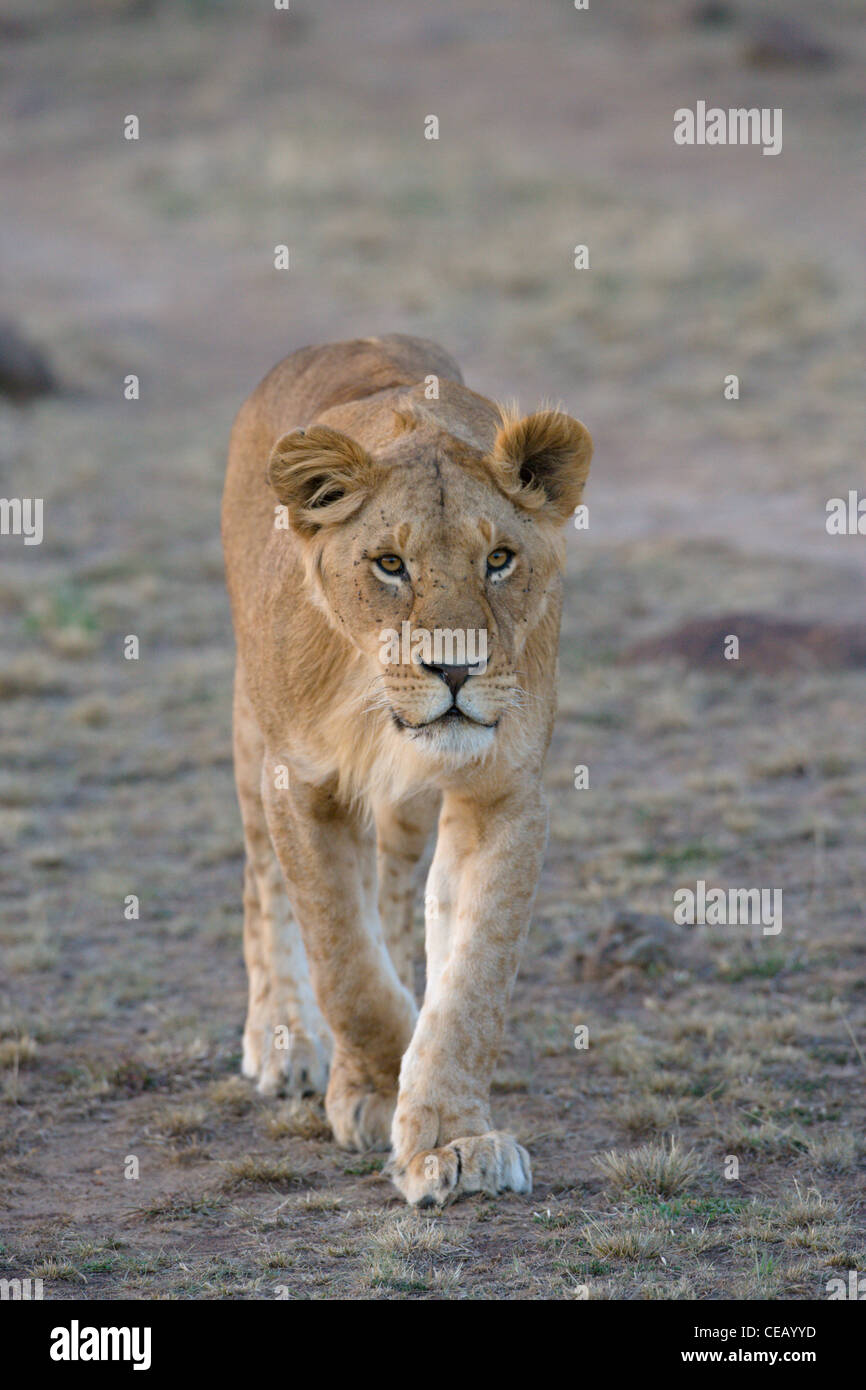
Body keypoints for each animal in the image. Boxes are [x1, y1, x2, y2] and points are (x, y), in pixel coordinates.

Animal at [222, 334, 592, 1205]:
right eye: (390, 564)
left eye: (500, 559)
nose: (454, 670)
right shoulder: (303, 784)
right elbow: (346, 966)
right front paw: (372, 1089)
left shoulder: (504, 794)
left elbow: (472, 981)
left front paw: (451, 1136)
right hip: (251, 723)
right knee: (263, 883)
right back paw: (284, 1038)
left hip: (407, 807)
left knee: (390, 891)